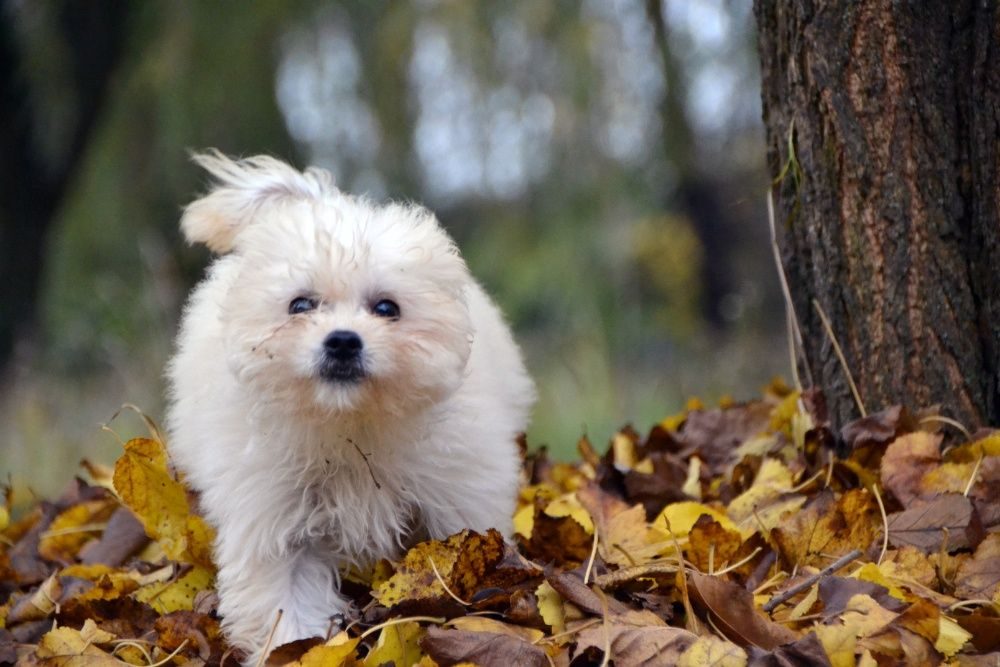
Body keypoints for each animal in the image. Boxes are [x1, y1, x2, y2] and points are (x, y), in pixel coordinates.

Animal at [168, 153, 536, 664]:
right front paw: (294, 648)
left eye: (387, 308)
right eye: (300, 305)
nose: (342, 340)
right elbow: (285, 604)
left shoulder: (458, 493)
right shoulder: (275, 520)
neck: (349, 424)